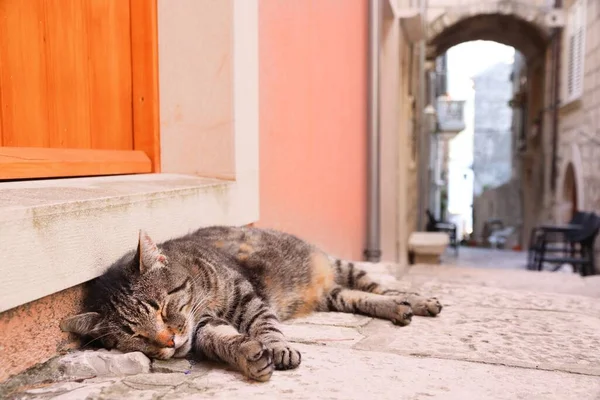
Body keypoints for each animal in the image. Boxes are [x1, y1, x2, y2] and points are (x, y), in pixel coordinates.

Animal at [61, 225, 442, 382]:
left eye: (161, 307)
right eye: (135, 337)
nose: (168, 342)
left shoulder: (245, 296)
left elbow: (265, 324)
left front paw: (278, 347)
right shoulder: (204, 327)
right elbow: (223, 340)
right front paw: (249, 355)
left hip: (340, 266)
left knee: (382, 287)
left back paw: (418, 301)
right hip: (337, 295)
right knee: (363, 297)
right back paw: (399, 309)